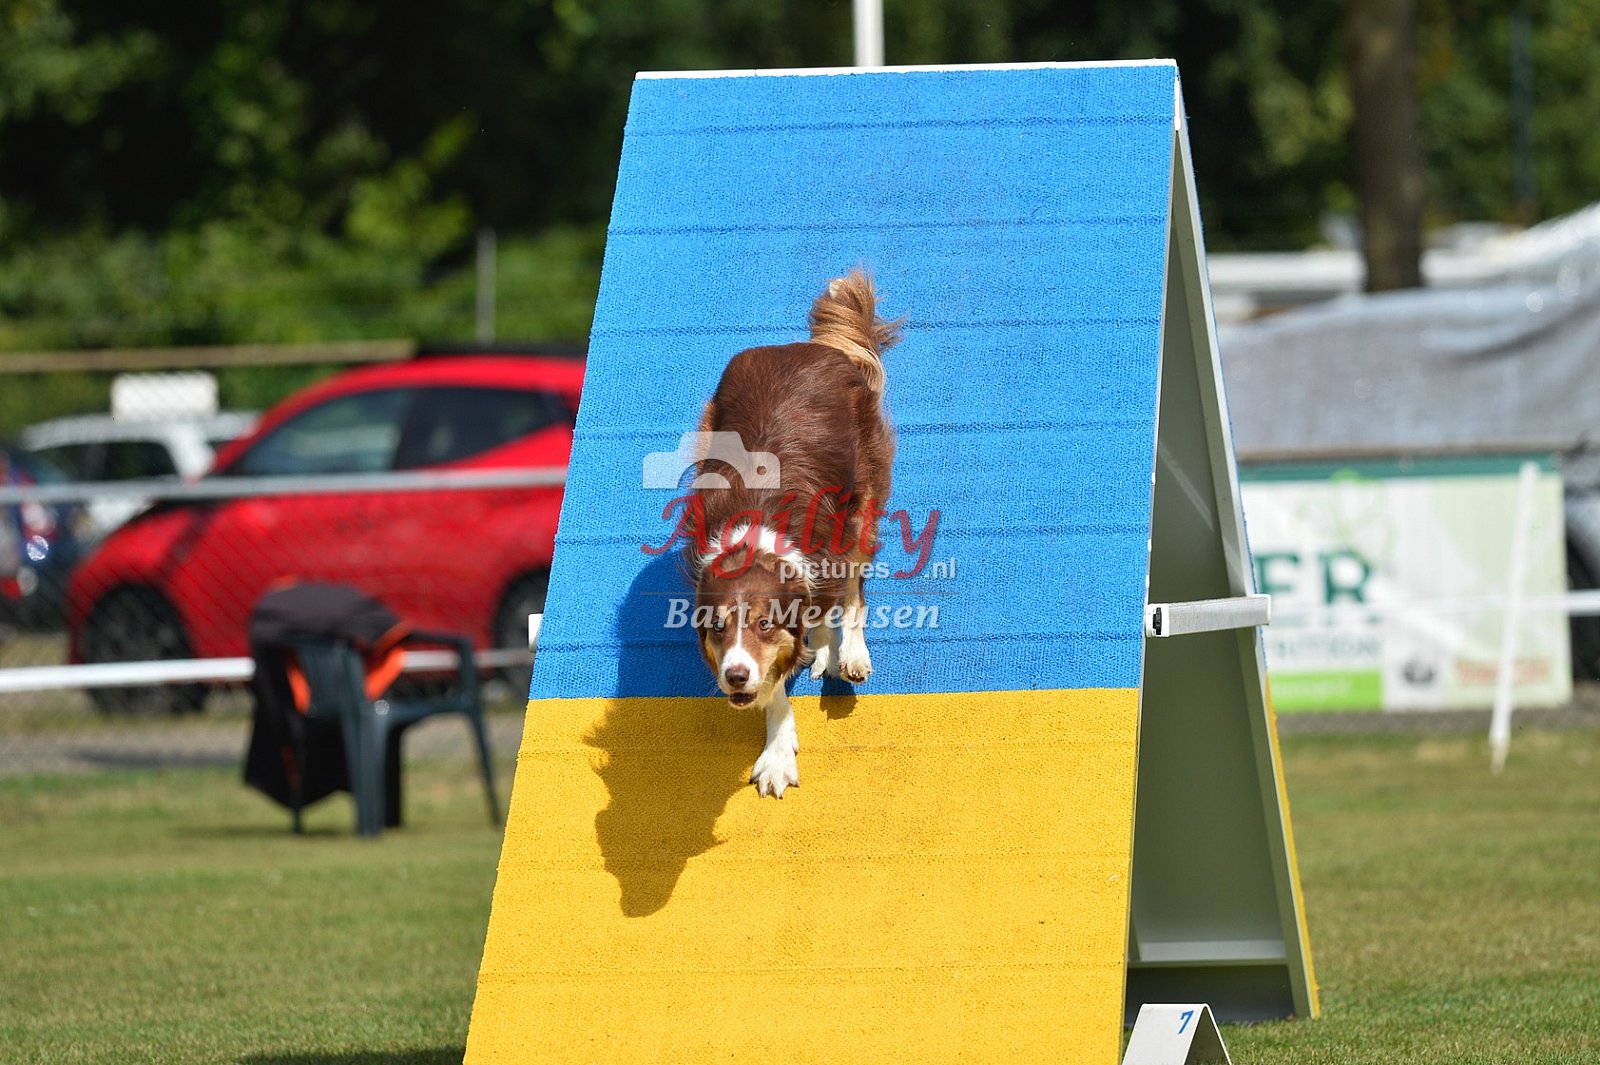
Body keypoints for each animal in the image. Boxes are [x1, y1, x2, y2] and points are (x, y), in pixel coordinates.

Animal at [685, 270, 900, 797]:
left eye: (765, 624)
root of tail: (809, 348)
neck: (756, 537)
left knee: (855, 587)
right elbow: (776, 682)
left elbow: (835, 609)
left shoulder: (829, 558)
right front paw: (778, 749)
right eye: (717, 627)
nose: (734, 676)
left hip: (864, 491)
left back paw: (850, 654)